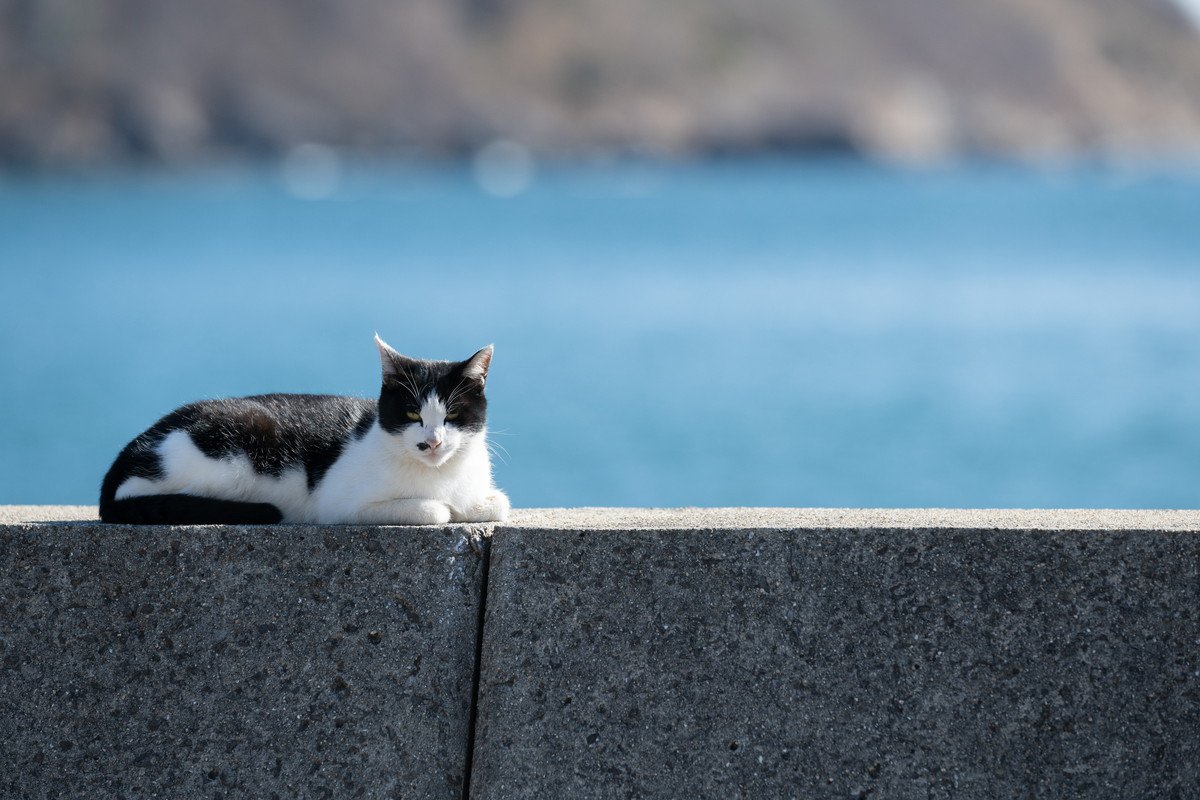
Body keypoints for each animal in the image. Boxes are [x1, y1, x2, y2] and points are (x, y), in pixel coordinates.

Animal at [102, 335, 511, 525]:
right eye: (412, 414)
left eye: (452, 414)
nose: (432, 442)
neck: (441, 477)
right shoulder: (340, 504)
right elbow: (435, 510)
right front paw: (443, 508)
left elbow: (499, 503)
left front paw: (475, 505)